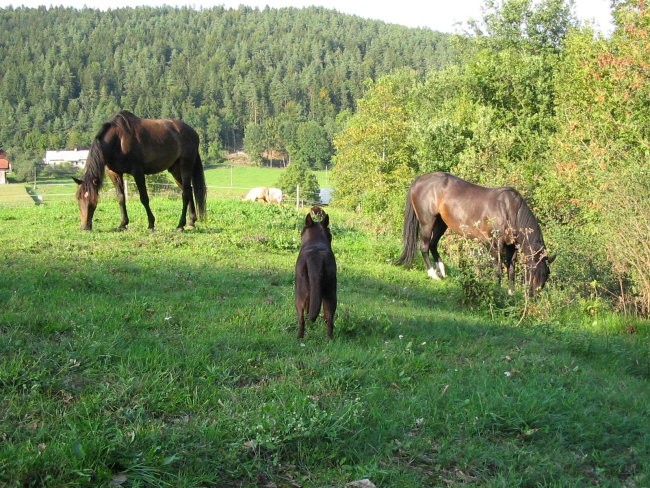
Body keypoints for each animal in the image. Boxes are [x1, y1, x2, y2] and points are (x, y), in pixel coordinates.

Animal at [73, 111, 205, 232]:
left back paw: (180, 225)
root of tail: (193, 133)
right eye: (78, 199)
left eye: (93, 200)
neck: (119, 140)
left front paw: (151, 224)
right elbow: (121, 198)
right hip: (175, 170)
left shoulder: (137, 172)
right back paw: (191, 221)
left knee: (185, 194)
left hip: (185, 166)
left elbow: (144, 198)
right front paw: (123, 224)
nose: (84, 227)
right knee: (188, 190)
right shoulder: (114, 173)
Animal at [292, 206, 334, 340]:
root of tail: (316, 259)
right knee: (330, 319)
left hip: (299, 294)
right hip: (330, 293)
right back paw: (330, 339)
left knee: (301, 320)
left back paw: (299, 337)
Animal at [394, 173, 552, 300]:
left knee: (433, 244)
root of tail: (419, 179)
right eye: (533, 272)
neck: (510, 210)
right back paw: (433, 275)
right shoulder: (495, 244)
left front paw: (510, 293)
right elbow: (498, 270)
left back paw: (442, 272)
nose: (533, 297)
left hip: (441, 223)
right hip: (427, 222)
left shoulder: (511, 247)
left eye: (546, 276)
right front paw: (497, 290)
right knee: (424, 246)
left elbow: (511, 269)